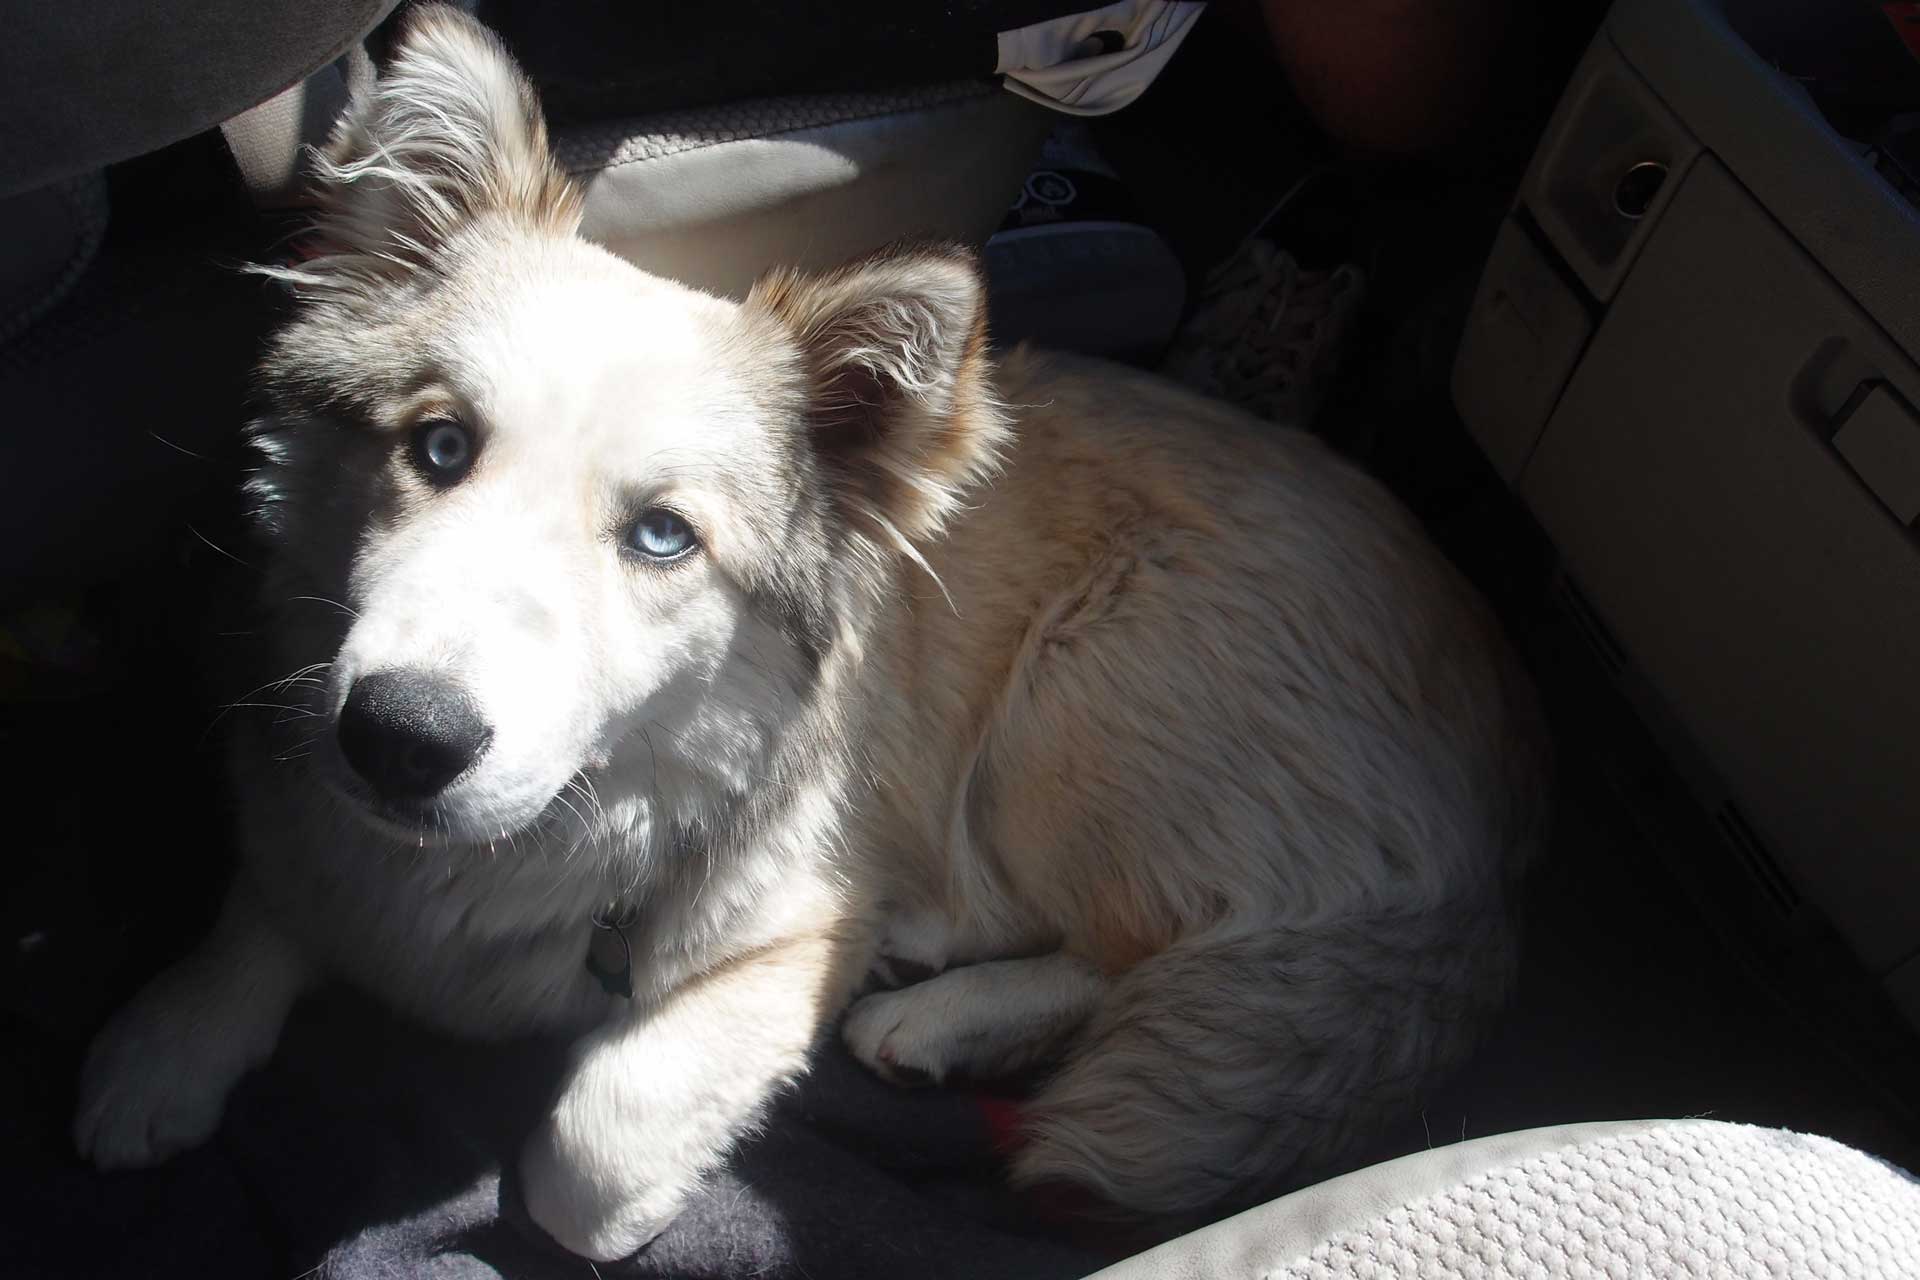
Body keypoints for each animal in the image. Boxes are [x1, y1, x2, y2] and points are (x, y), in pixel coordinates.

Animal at [74, 10, 1551, 1266]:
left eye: (663, 537)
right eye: (438, 446)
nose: (400, 739)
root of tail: (1509, 813)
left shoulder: (796, 912)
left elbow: (588, 1154)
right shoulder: (307, 778)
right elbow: (273, 889)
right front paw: (162, 1049)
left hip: (1083, 701)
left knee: (1161, 945)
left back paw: (933, 1004)